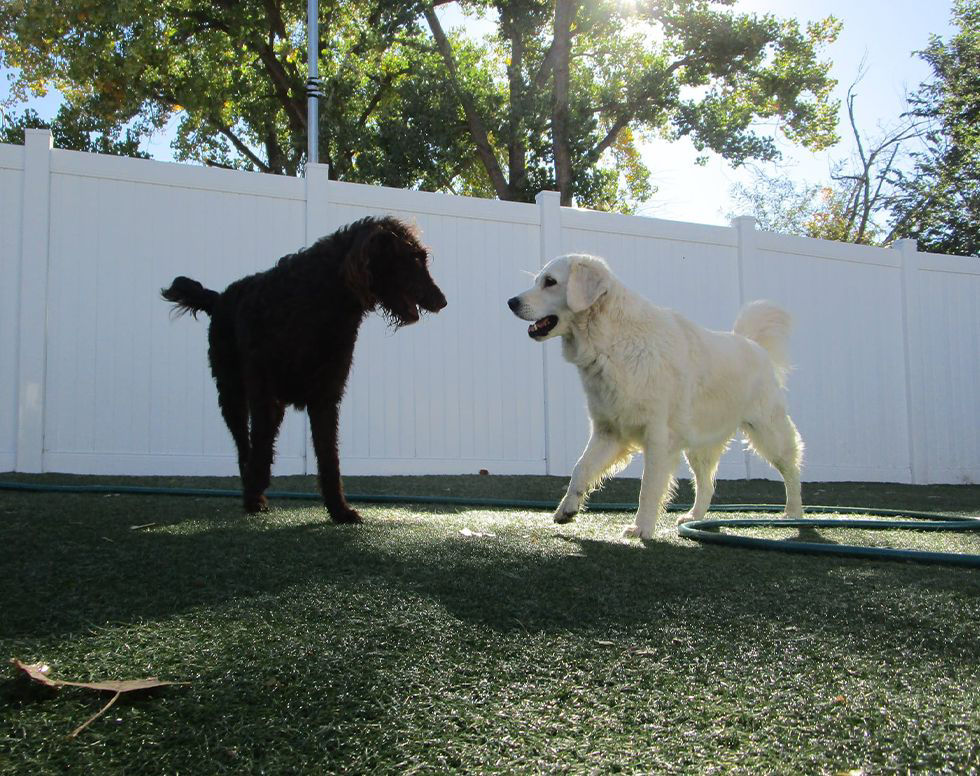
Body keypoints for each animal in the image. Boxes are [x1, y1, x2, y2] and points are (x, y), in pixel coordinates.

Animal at [506, 255, 804, 540]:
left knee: (791, 470)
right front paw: (567, 508)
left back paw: (794, 515)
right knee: (707, 485)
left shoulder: (658, 437)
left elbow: (648, 487)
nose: (510, 302)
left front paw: (641, 528)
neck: (612, 342)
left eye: (550, 282)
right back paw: (693, 517)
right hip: (699, 447)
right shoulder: (608, 431)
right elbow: (581, 468)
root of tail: (753, 344)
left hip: (769, 434)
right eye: (538, 281)